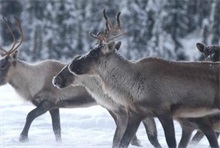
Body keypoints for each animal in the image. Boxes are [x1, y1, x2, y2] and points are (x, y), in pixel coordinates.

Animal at [65, 9, 220, 147]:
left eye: (93, 53)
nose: (72, 64)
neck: (132, 87)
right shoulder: (135, 113)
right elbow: (124, 142)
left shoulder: (164, 110)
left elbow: (170, 142)